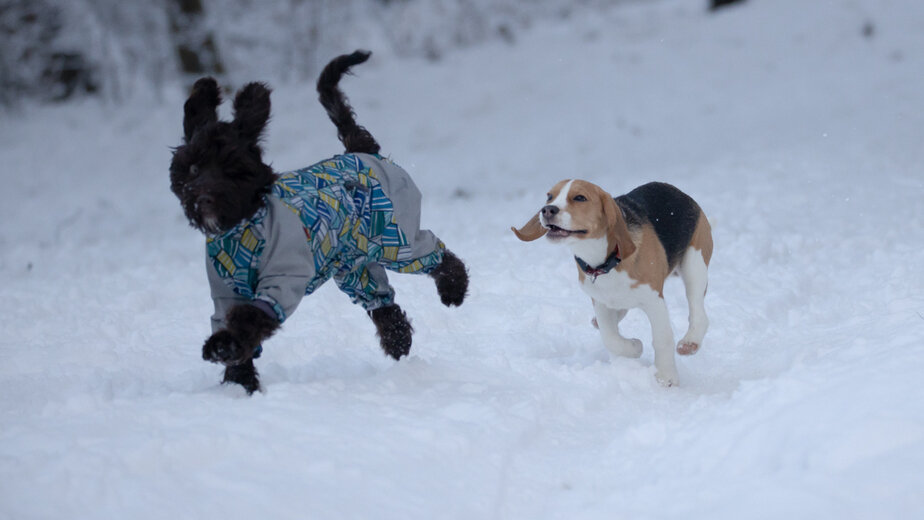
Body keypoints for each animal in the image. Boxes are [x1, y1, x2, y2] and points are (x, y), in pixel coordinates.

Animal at [169, 52, 466, 394]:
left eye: (231, 170)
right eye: (193, 168)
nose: (203, 198)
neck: (244, 227)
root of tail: (361, 150)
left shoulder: (282, 279)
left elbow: (250, 318)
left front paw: (224, 348)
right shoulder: (225, 292)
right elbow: (235, 322)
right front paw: (239, 383)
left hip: (393, 238)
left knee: (435, 253)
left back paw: (454, 289)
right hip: (353, 265)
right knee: (381, 300)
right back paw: (398, 340)